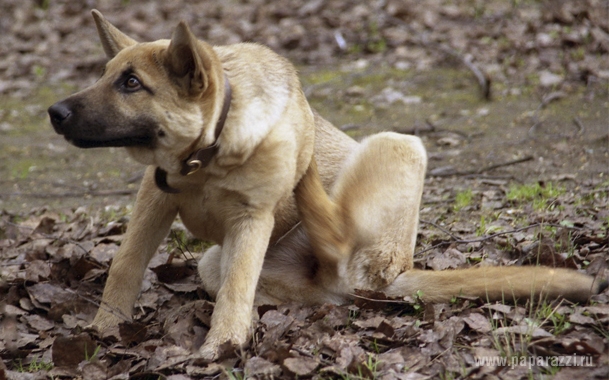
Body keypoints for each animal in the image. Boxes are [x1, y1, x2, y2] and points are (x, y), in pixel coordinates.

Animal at [48, 8, 604, 360]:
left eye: (132, 84)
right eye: (107, 77)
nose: (54, 112)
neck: (204, 157)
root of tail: (393, 276)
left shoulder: (251, 219)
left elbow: (233, 289)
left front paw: (219, 347)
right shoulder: (154, 200)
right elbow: (126, 266)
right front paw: (103, 331)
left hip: (399, 145)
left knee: (332, 240)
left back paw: (309, 176)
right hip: (218, 262)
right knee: (295, 293)